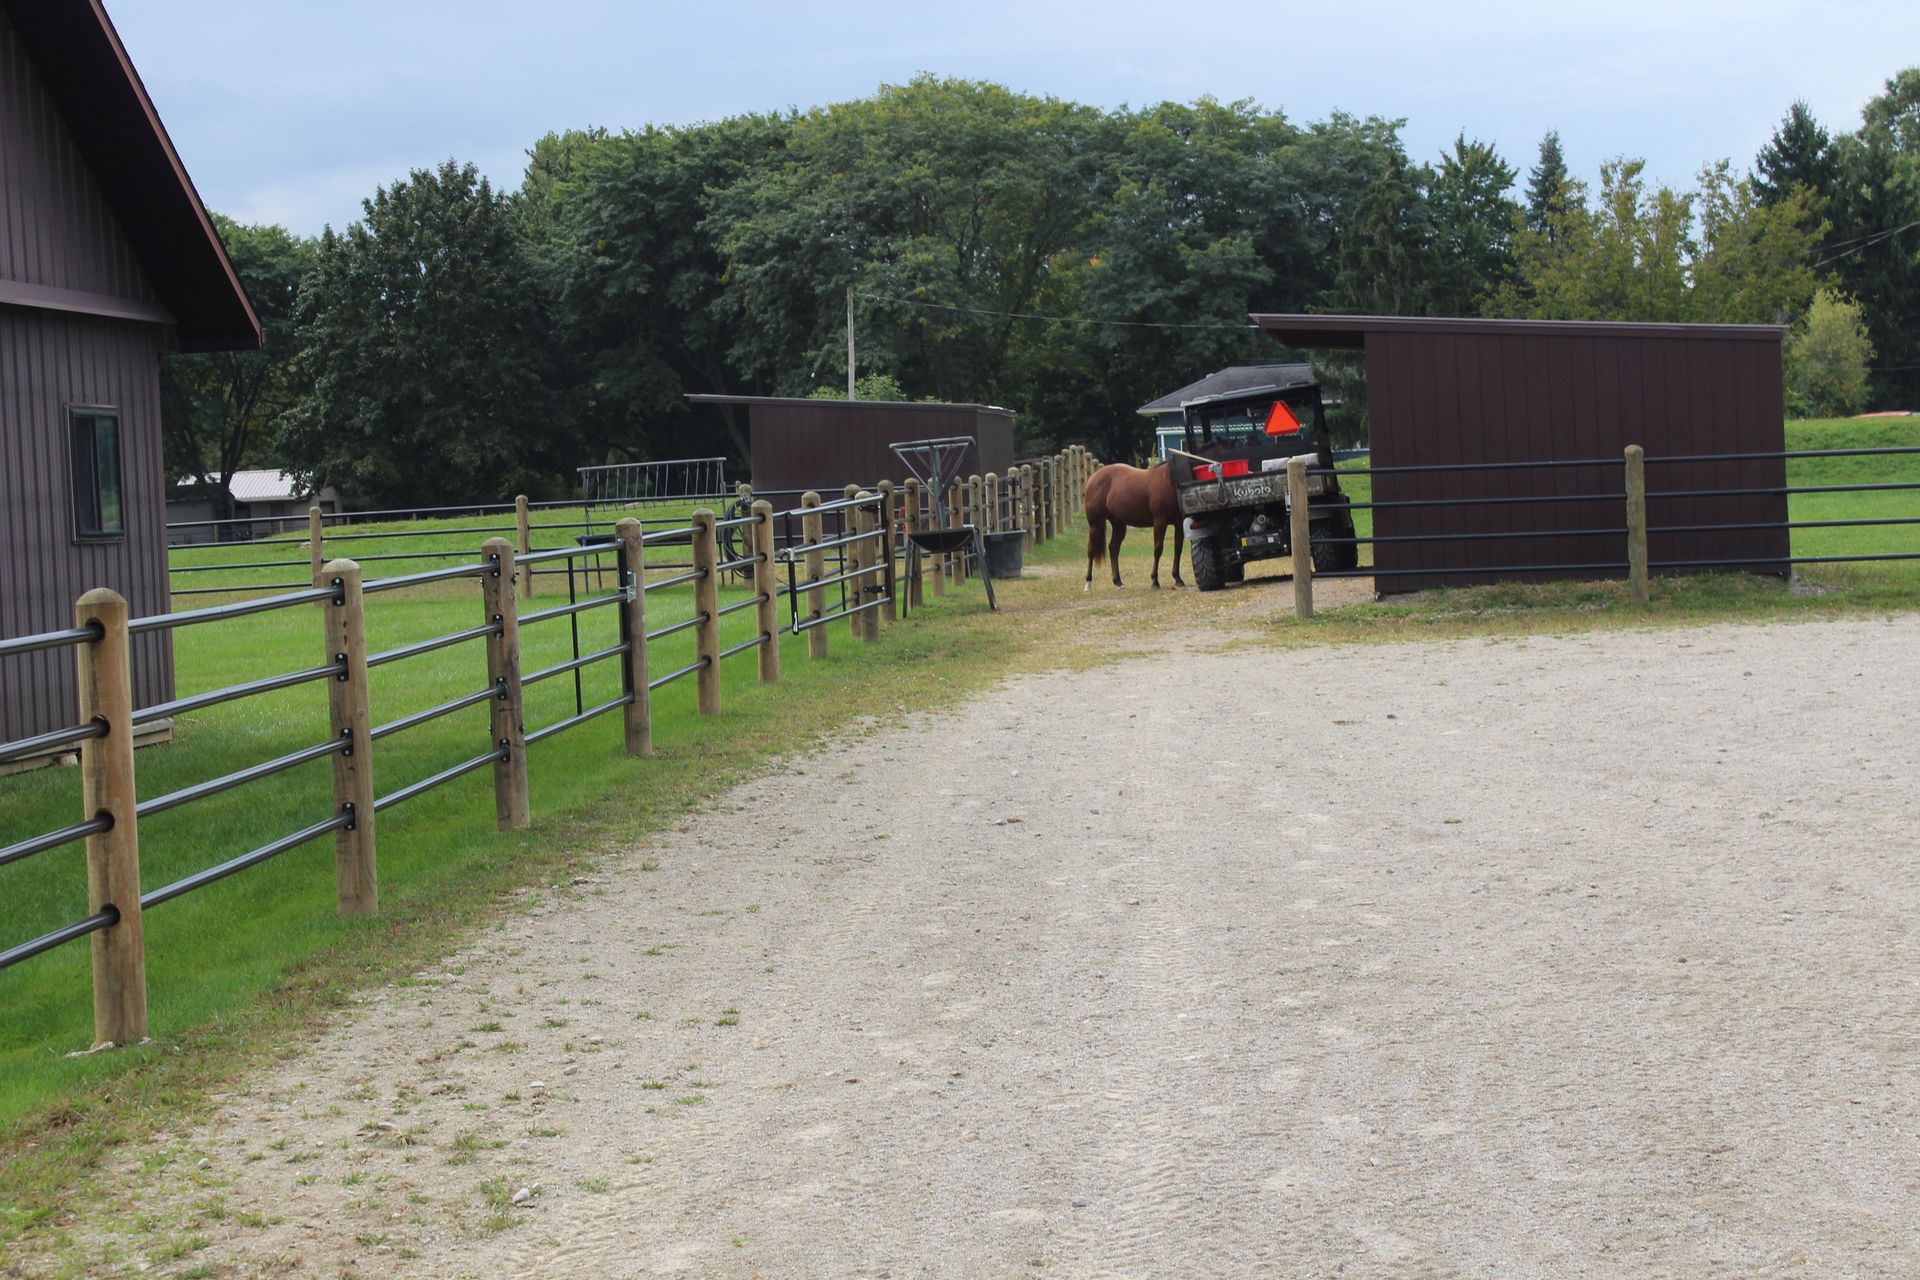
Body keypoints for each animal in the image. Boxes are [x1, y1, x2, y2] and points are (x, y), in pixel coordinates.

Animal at [1084, 461, 1184, 590]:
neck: (1169, 479)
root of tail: (1093, 477)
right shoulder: (1159, 522)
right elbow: (1158, 550)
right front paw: (1155, 582)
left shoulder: (1179, 523)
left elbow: (1178, 550)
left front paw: (1178, 579)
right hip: (1095, 524)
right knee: (1091, 550)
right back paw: (1088, 583)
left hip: (1119, 525)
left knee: (1114, 548)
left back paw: (1118, 582)